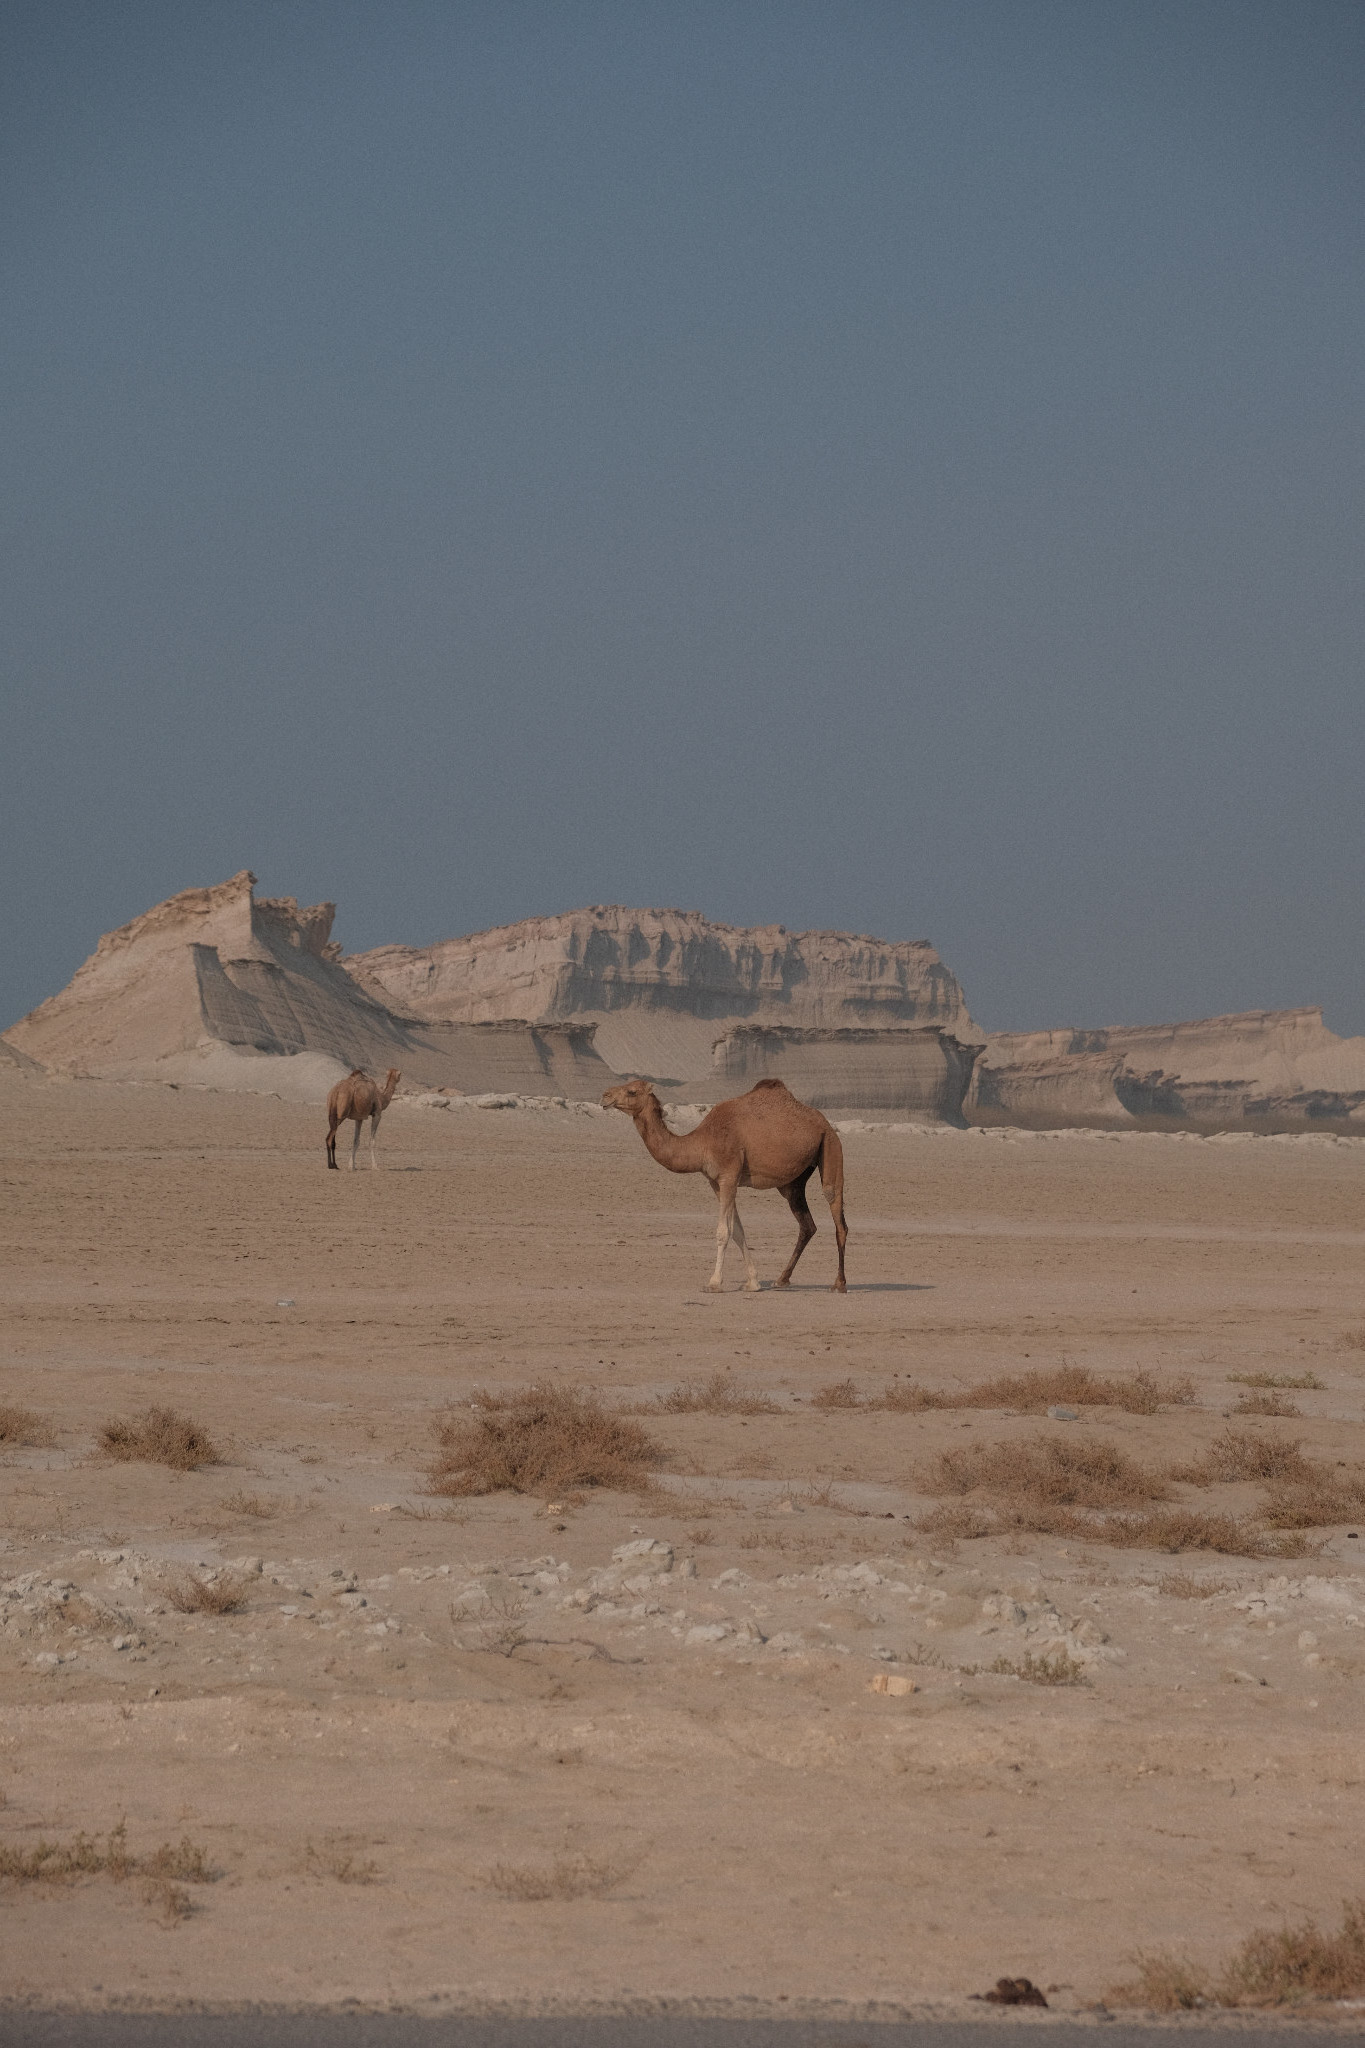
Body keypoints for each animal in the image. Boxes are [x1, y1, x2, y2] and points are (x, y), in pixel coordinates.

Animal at [601, 1081, 847, 1286]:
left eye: (632, 1091)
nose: (605, 1096)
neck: (702, 1142)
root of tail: (824, 1122)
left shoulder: (729, 1174)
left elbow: (722, 1231)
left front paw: (714, 1282)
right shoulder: (717, 1182)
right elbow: (737, 1230)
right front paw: (753, 1282)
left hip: (831, 1145)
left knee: (836, 1209)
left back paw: (839, 1284)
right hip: (793, 1182)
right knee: (807, 1224)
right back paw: (782, 1279)